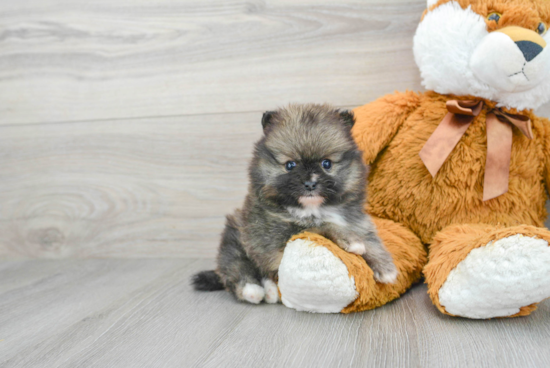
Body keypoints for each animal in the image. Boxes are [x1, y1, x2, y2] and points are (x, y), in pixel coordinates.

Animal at [193, 104, 396, 304]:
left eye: (326, 163)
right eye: (290, 165)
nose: (310, 183)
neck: (314, 209)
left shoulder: (356, 221)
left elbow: (370, 239)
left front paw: (385, 266)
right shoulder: (278, 234)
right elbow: (323, 226)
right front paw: (351, 241)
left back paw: (271, 291)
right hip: (236, 237)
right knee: (236, 266)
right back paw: (252, 290)